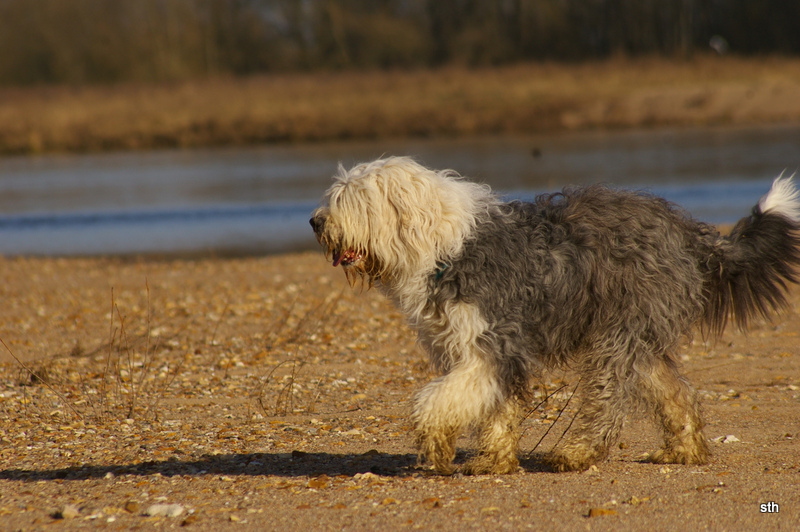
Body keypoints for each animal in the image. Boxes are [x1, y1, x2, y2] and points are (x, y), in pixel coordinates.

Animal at [310, 157, 800, 474]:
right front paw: (493, 459)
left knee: (608, 399)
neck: (441, 244)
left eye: (350, 199)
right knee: (673, 391)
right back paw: (683, 449)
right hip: (638, 335)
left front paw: (436, 442)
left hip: (617, 333)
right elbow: (492, 406)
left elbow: (439, 401)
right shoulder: (473, 348)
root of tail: (691, 233)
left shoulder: (493, 345)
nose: (315, 222)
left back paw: (577, 454)